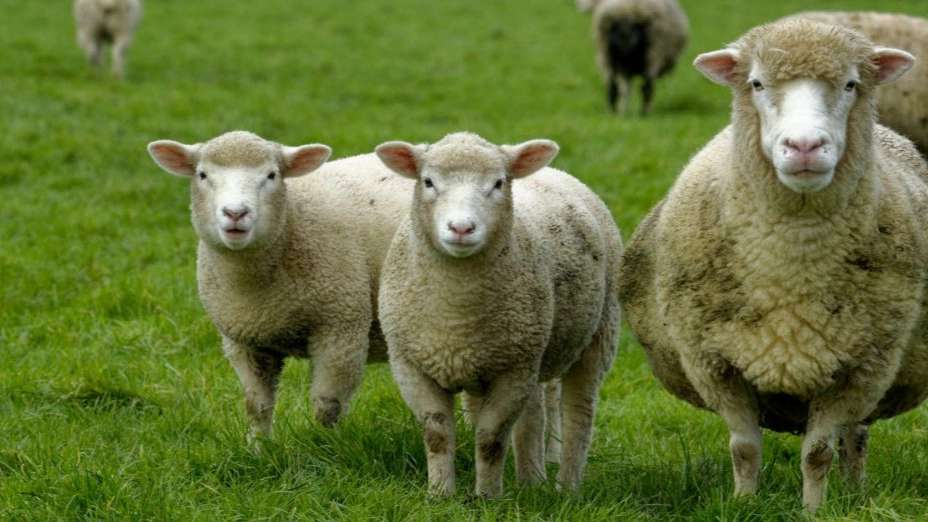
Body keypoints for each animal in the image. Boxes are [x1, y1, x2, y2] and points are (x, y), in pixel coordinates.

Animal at [147, 131, 413, 443]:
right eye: (202, 174)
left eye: (271, 175)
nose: (235, 213)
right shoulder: (245, 341)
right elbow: (256, 406)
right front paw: (258, 448)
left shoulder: (342, 330)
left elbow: (327, 407)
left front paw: (328, 447)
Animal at [375, 132, 622, 498]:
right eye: (428, 182)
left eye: (498, 183)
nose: (461, 228)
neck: (455, 312)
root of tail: (557, 172)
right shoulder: (411, 365)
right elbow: (437, 435)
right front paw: (440, 495)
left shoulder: (512, 371)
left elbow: (491, 439)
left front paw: (487, 497)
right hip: (522, 352)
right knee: (533, 414)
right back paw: (531, 479)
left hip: (596, 336)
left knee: (579, 412)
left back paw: (567, 486)